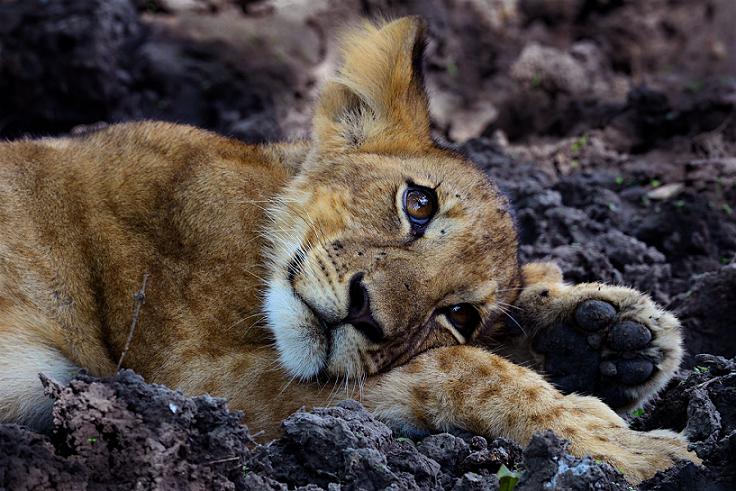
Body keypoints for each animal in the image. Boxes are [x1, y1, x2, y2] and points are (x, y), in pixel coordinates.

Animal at [0, 16, 696, 483]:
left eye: (458, 314)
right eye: (419, 204)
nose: (365, 312)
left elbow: (452, 353)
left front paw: (608, 336)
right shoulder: (184, 381)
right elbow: (458, 370)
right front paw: (625, 446)